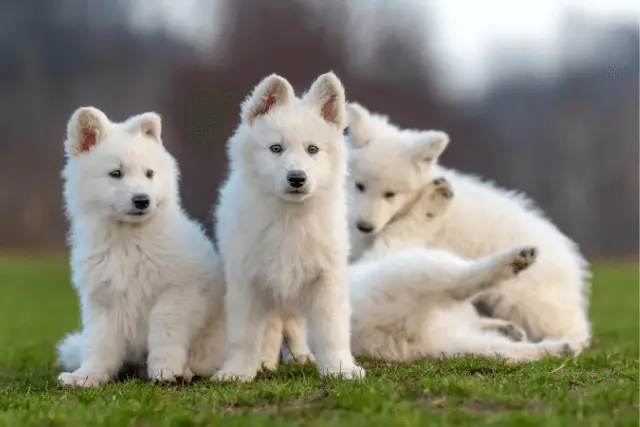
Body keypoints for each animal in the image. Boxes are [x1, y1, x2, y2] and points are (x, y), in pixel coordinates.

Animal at [57, 106, 226, 388]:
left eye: (149, 174)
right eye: (116, 173)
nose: (142, 200)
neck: (128, 240)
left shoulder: (175, 293)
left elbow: (164, 335)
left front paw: (166, 371)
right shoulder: (104, 300)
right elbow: (99, 344)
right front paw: (87, 376)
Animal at [215, 72, 364, 382]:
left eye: (312, 149)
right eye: (276, 149)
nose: (297, 178)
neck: (290, 217)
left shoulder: (325, 277)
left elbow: (332, 330)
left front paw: (340, 368)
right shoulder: (248, 280)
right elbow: (245, 335)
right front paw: (238, 371)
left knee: (292, 322)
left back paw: (300, 356)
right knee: (272, 326)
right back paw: (265, 360)